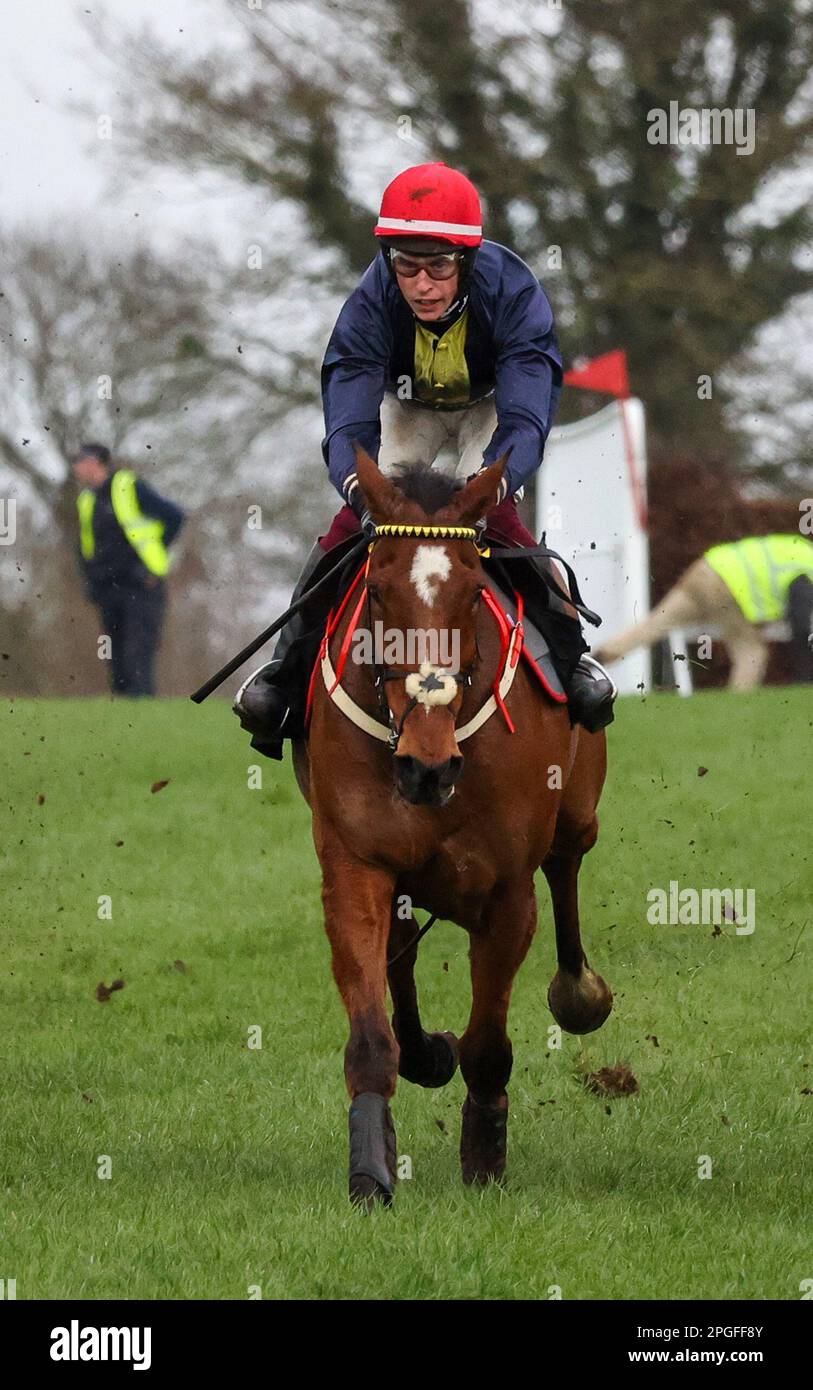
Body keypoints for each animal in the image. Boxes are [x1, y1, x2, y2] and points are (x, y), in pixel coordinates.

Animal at [291, 447, 608, 1206]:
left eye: (468, 594)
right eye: (377, 592)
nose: (425, 768)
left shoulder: (506, 895)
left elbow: (488, 1044)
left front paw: (484, 1161)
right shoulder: (356, 867)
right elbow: (371, 1033)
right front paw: (371, 1171)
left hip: (578, 812)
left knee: (567, 865)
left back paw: (579, 991)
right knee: (401, 953)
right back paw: (423, 1052)